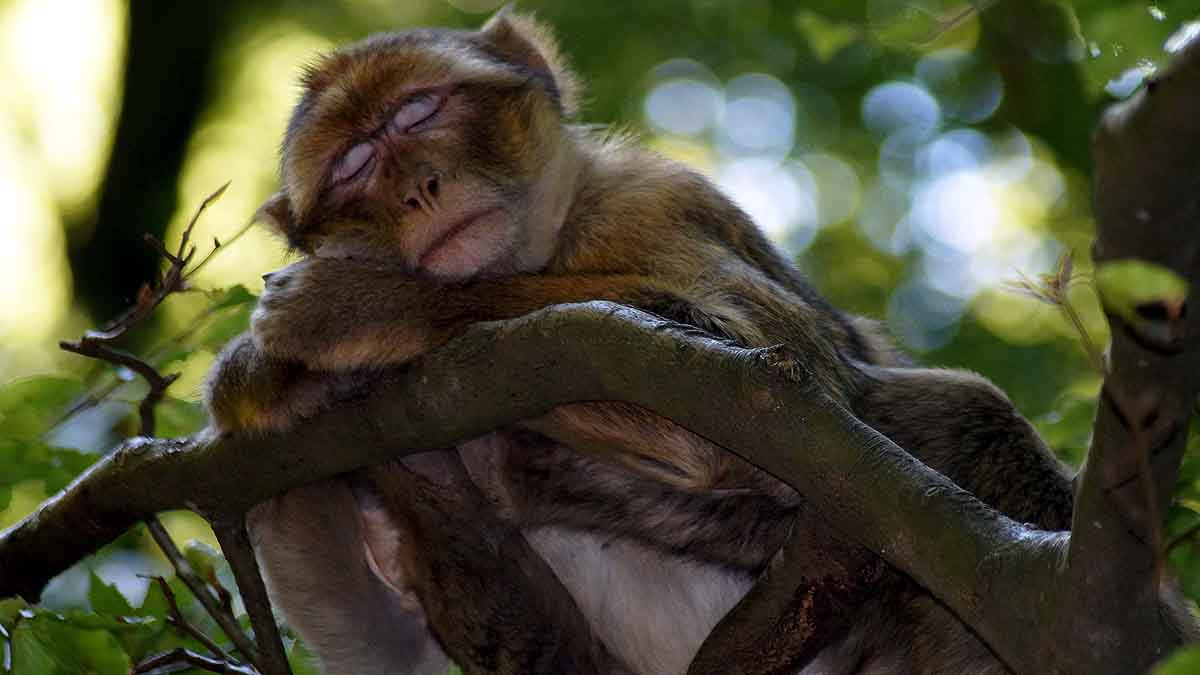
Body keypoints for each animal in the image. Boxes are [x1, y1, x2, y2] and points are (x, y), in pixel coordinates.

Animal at [204, 9, 1193, 675]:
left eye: (418, 114)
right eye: (354, 167)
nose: (418, 189)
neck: (549, 244)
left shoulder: (658, 204)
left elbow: (765, 373)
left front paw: (353, 310)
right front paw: (275, 380)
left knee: (958, 414)